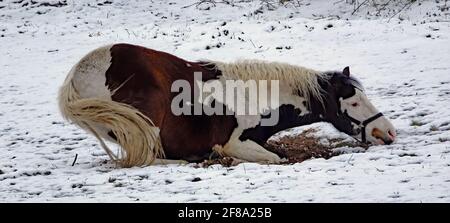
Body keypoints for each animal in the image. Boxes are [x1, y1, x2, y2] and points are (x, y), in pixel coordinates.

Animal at [58, 43, 396, 167]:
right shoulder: (233, 144)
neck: (254, 97)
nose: (388, 132)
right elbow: (276, 159)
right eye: (354, 101)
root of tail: (79, 72)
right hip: (144, 126)